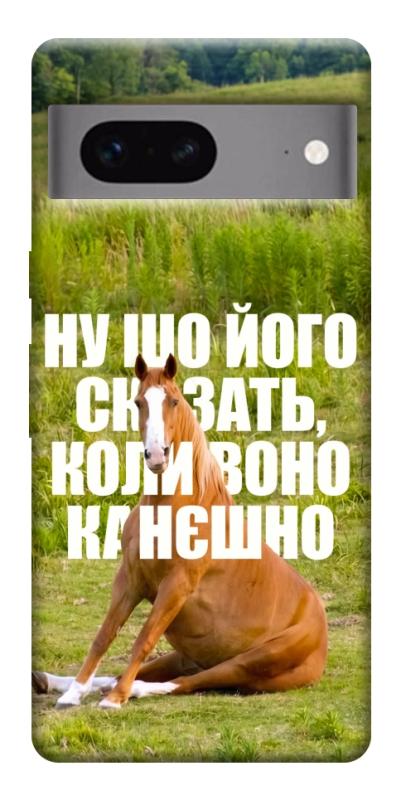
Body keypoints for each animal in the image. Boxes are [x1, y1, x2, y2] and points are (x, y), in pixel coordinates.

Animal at [32, 353, 328, 709]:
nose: (157, 455)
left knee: (189, 682)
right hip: (187, 655)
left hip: (248, 662)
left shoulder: (176, 586)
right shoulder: (130, 578)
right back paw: (53, 681)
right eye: (138, 402)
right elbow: (105, 635)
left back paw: (128, 690)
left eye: (173, 401)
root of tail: (320, 632)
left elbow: (143, 639)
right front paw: (74, 692)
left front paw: (115, 700)